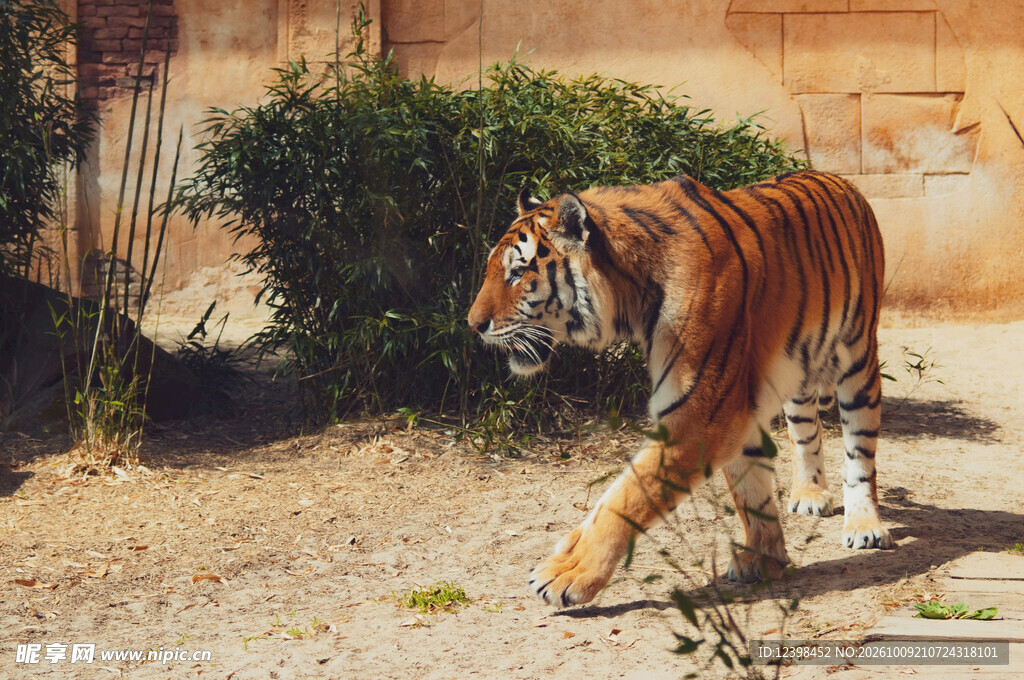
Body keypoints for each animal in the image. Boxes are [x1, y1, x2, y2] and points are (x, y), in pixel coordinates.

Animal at [467, 170, 892, 607]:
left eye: (518, 273)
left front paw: (567, 574)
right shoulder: (736, 408)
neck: (631, 294)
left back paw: (864, 526)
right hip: (799, 375)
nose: (472, 324)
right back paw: (810, 495)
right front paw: (764, 558)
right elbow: (750, 491)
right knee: (807, 432)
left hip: (859, 360)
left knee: (859, 453)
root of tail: (842, 179)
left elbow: (625, 497)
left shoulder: (699, 416)